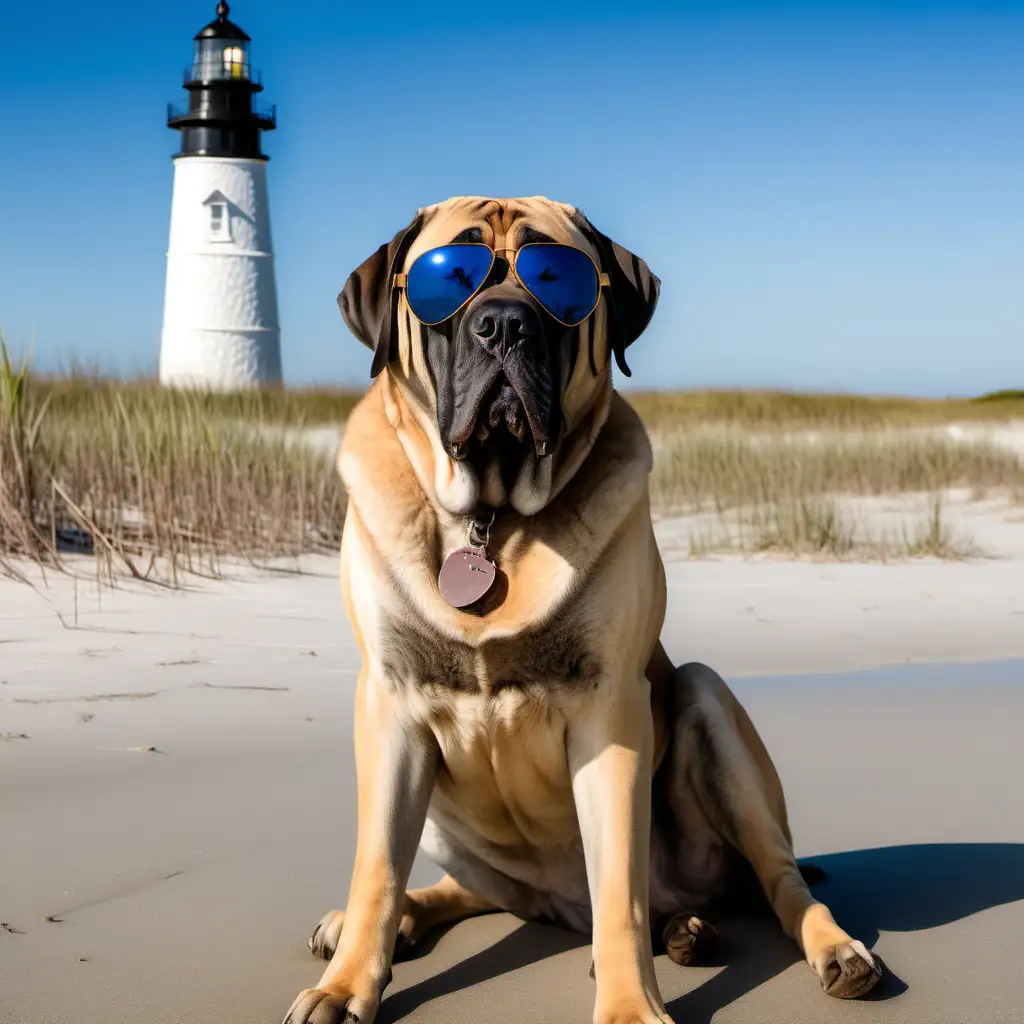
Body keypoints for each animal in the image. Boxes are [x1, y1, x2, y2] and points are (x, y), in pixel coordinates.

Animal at [280, 197, 880, 1024]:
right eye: (449, 278)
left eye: (555, 280)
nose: (503, 324)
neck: (493, 517)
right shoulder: (391, 705)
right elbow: (376, 869)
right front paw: (346, 984)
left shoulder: (610, 707)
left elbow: (619, 887)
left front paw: (629, 1005)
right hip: (448, 826)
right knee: (460, 888)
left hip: (710, 707)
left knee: (775, 881)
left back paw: (810, 945)